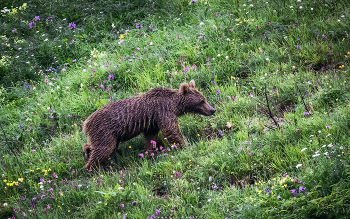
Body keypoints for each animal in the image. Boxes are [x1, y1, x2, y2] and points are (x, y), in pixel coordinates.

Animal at [81, 79, 215, 170]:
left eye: (204, 99)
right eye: (201, 101)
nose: (212, 110)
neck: (175, 106)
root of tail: (86, 123)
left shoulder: (152, 122)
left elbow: (150, 138)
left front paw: (150, 153)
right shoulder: (163, 112)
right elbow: (171, 130)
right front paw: (186, 145)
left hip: (109, 135)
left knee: (98, 146)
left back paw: (87, 152)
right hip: (105, 130)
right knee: (103, 149)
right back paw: (91, 168)